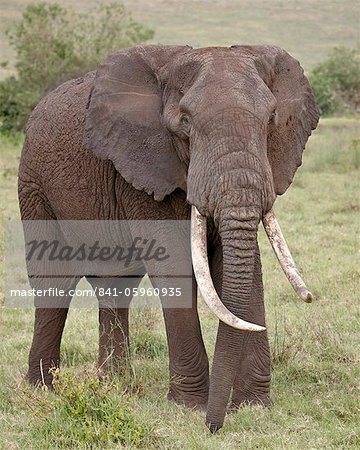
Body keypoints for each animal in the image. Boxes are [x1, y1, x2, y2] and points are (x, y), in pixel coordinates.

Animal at [19, 44, 318, 430]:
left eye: (271, 119)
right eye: (186, 123)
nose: (213, 426)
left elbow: (243, 266)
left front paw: (254, 407)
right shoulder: (143, 167)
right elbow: (173, 263)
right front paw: (190, 406)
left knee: (115, 283)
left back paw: (116, 387)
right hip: (33, 183)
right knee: (55, 281)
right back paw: (43, 389)